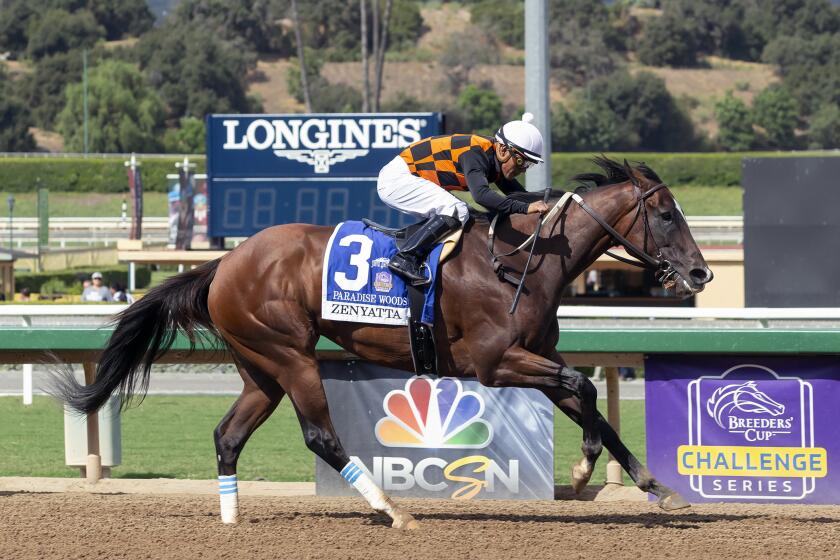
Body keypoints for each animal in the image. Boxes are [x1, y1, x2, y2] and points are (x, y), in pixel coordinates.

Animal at [52, 156, 712, 528]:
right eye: (668, 216)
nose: (701, 273)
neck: (520, 261)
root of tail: (225, 262)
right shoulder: (496, 363)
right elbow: (584, 391)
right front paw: (579, 471)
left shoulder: (538, 355)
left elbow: (589, 401)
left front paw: (659, 489)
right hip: (291, 355)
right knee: (320, 435)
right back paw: (394, 512)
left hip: (260, 367)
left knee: (228, 436)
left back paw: (232, 519)